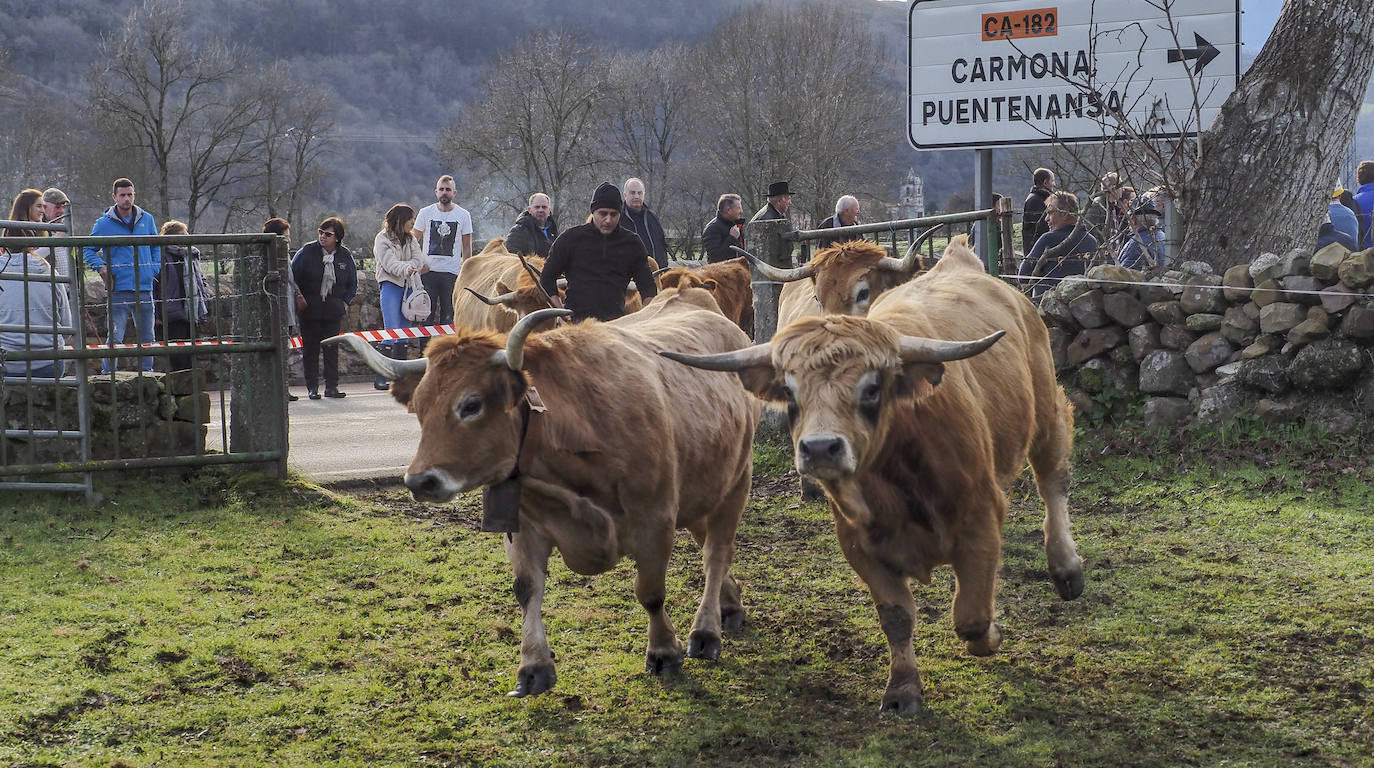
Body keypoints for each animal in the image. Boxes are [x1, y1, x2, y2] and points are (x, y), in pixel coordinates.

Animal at [332, 287, 763, 697]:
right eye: (419, 408)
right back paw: (730, 604)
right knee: (711, 547)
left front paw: (663, 651)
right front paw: (534, 666)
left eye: (471, 405)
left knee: (716, 553)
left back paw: (706, 631)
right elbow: (527, 589)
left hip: (736, 481)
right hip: (702, 489)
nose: (420, 481)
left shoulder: (655, 520)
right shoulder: (523, 525)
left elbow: (651, 592)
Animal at [662, 236, 1082, 714]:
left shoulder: (980, 519)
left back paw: (1067, 569)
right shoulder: (859, 544)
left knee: (1053, 480)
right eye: (789, 391)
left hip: (1046, 410)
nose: (819, 448)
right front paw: (902, 689)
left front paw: (991, 634)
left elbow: (972, 618)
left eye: (872, 387)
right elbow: (896, 616)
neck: (896, 472)